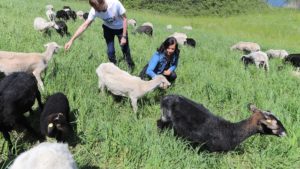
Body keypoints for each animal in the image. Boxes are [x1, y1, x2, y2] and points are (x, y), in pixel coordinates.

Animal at [157, 95, 286, 152]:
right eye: (275, 124)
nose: (285, 132)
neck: (231, 131)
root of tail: (165, 97)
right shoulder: (211, 151)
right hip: (165, 117)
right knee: (159, 124)